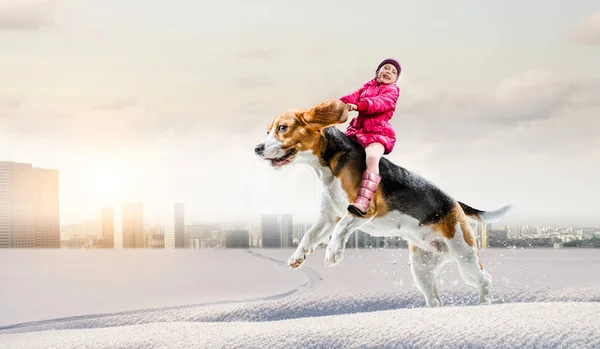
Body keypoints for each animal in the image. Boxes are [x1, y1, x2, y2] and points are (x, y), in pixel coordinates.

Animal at [254, 98, 516, 304]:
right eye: (268, 131)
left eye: (282, 128)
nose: (257, 148)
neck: (326, 166)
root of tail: (455, 203)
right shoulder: (328, 216)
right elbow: (309, 235)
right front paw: (298, 256)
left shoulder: (363, 210)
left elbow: (341, 228)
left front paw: (333, 253)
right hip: (422, 268)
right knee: (435, 298)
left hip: (465, 255)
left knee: (485, 279)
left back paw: (483, 303)